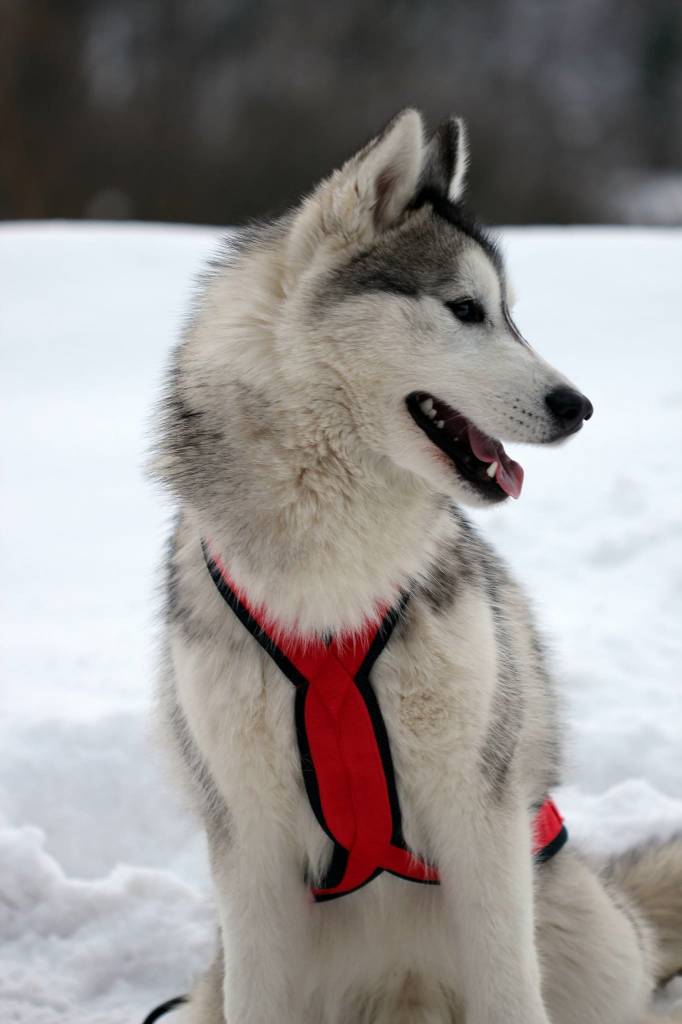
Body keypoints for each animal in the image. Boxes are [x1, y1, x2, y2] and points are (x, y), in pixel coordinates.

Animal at [152, 112, 679, 1024]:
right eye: (465, 309)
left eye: (510, 316)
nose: (578, 406)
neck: (334, 580)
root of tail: (404, 998)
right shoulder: (249, 847)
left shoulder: (480, 815)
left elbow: (509, 990)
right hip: (213, 985)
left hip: (587, 937)